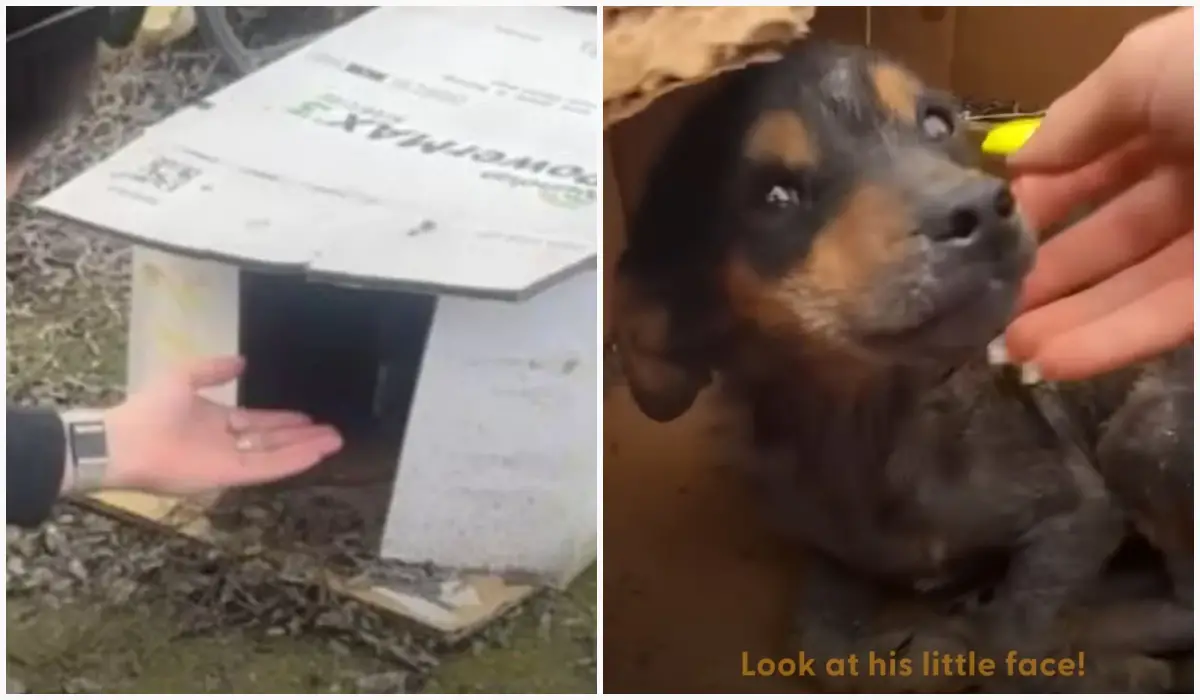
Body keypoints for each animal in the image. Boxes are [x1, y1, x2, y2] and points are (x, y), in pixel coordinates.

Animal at [614, 41, 1195, 691]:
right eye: (774, 196)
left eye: (938, 123)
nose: (983, 208)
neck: (869, 424)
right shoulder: (825, 551)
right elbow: (817, 648)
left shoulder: (1080, 512)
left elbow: (1013, 640)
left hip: (1143, 436)